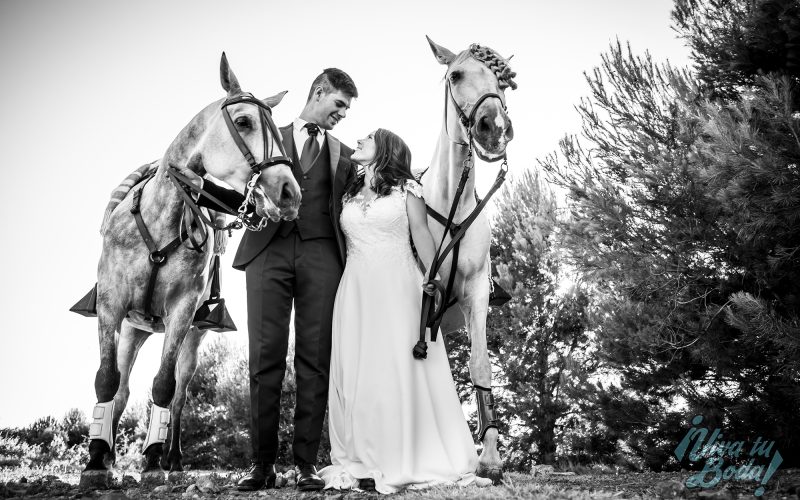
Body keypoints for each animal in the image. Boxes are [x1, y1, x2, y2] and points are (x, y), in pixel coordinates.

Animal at [80, 52, 300, 486]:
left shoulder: (182, 312)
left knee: (179, 393)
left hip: (191, 337)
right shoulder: (112, 305)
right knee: (122, 389)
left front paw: (152, 459)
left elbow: (164, 387)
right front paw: (97, 457)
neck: (160, 218)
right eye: (244, 122)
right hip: (134, 327)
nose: (289, 192)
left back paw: (170, 456)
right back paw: (110, 450)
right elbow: (107, 379)